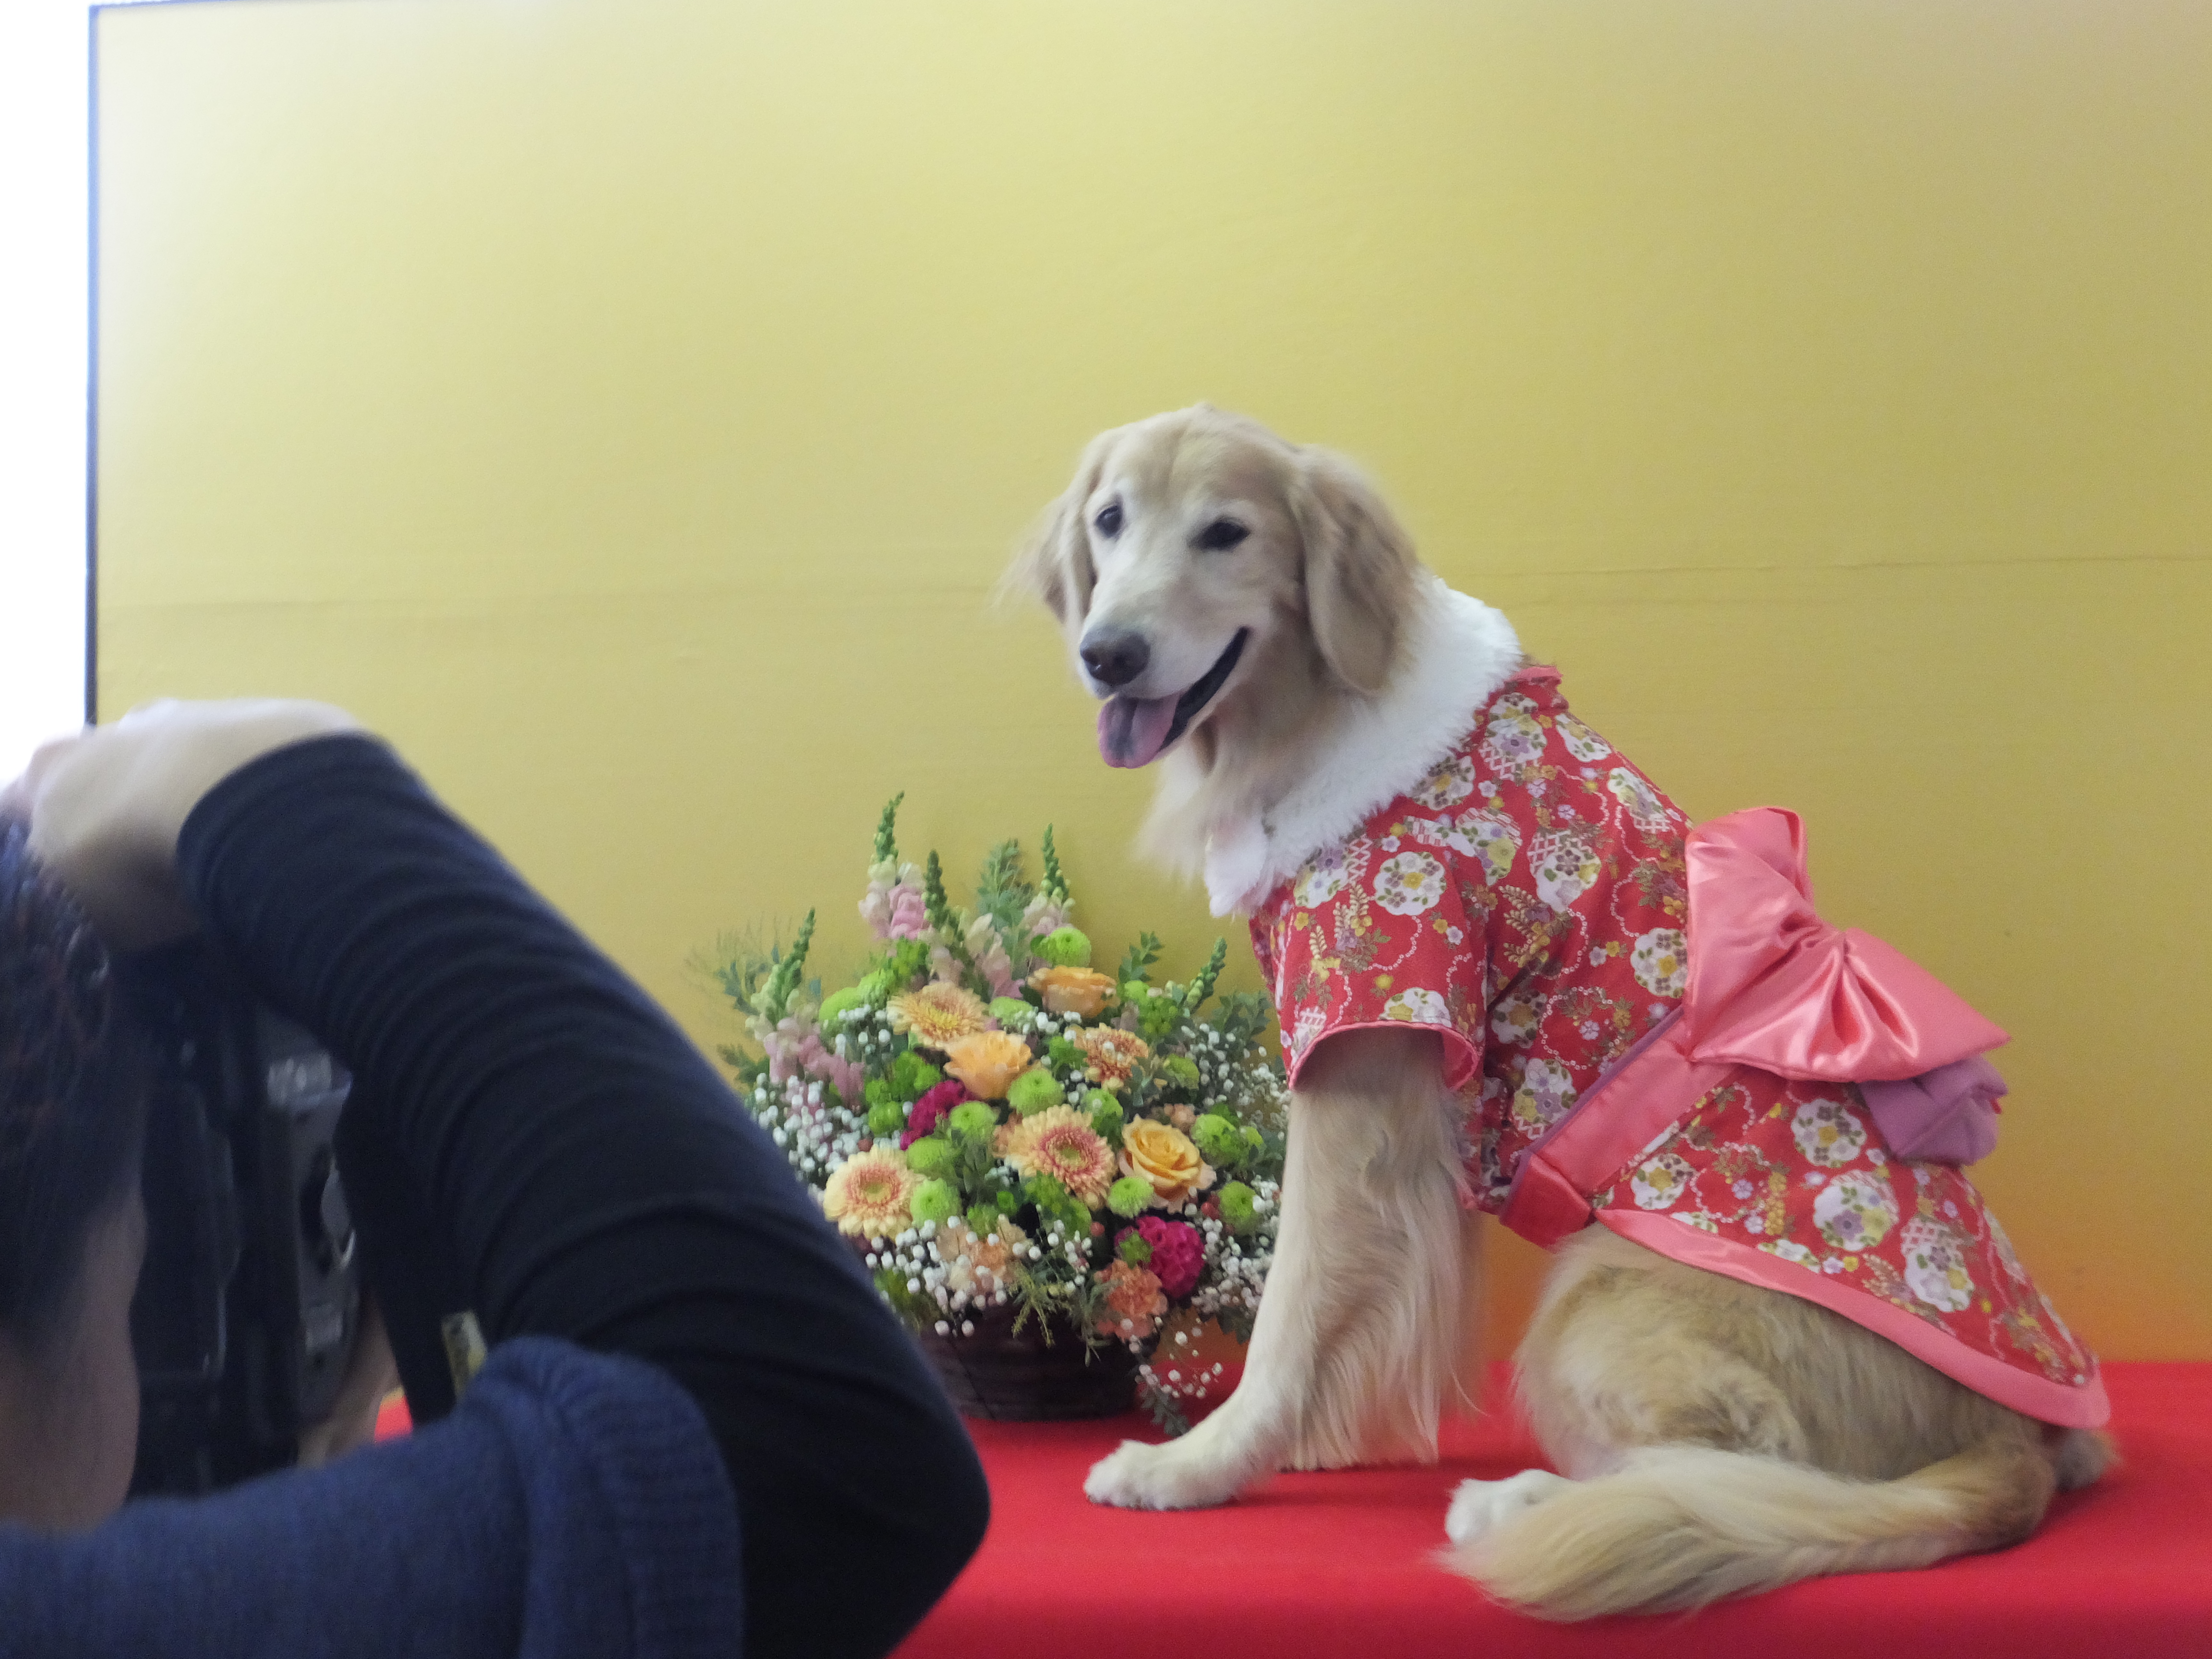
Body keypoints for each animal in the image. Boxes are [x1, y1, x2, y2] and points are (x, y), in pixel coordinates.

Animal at [1005, 404, 2112, 1618]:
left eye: (1226, 532)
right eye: (1110, 521)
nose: (1107, 652)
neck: (1321, 720)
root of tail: (2010, 1442)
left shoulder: (1358, 1066)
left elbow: (1294, 1303)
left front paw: (1200, 1463)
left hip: (1596, 1294)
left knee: (1758, 1472)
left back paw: (1525, 1500)